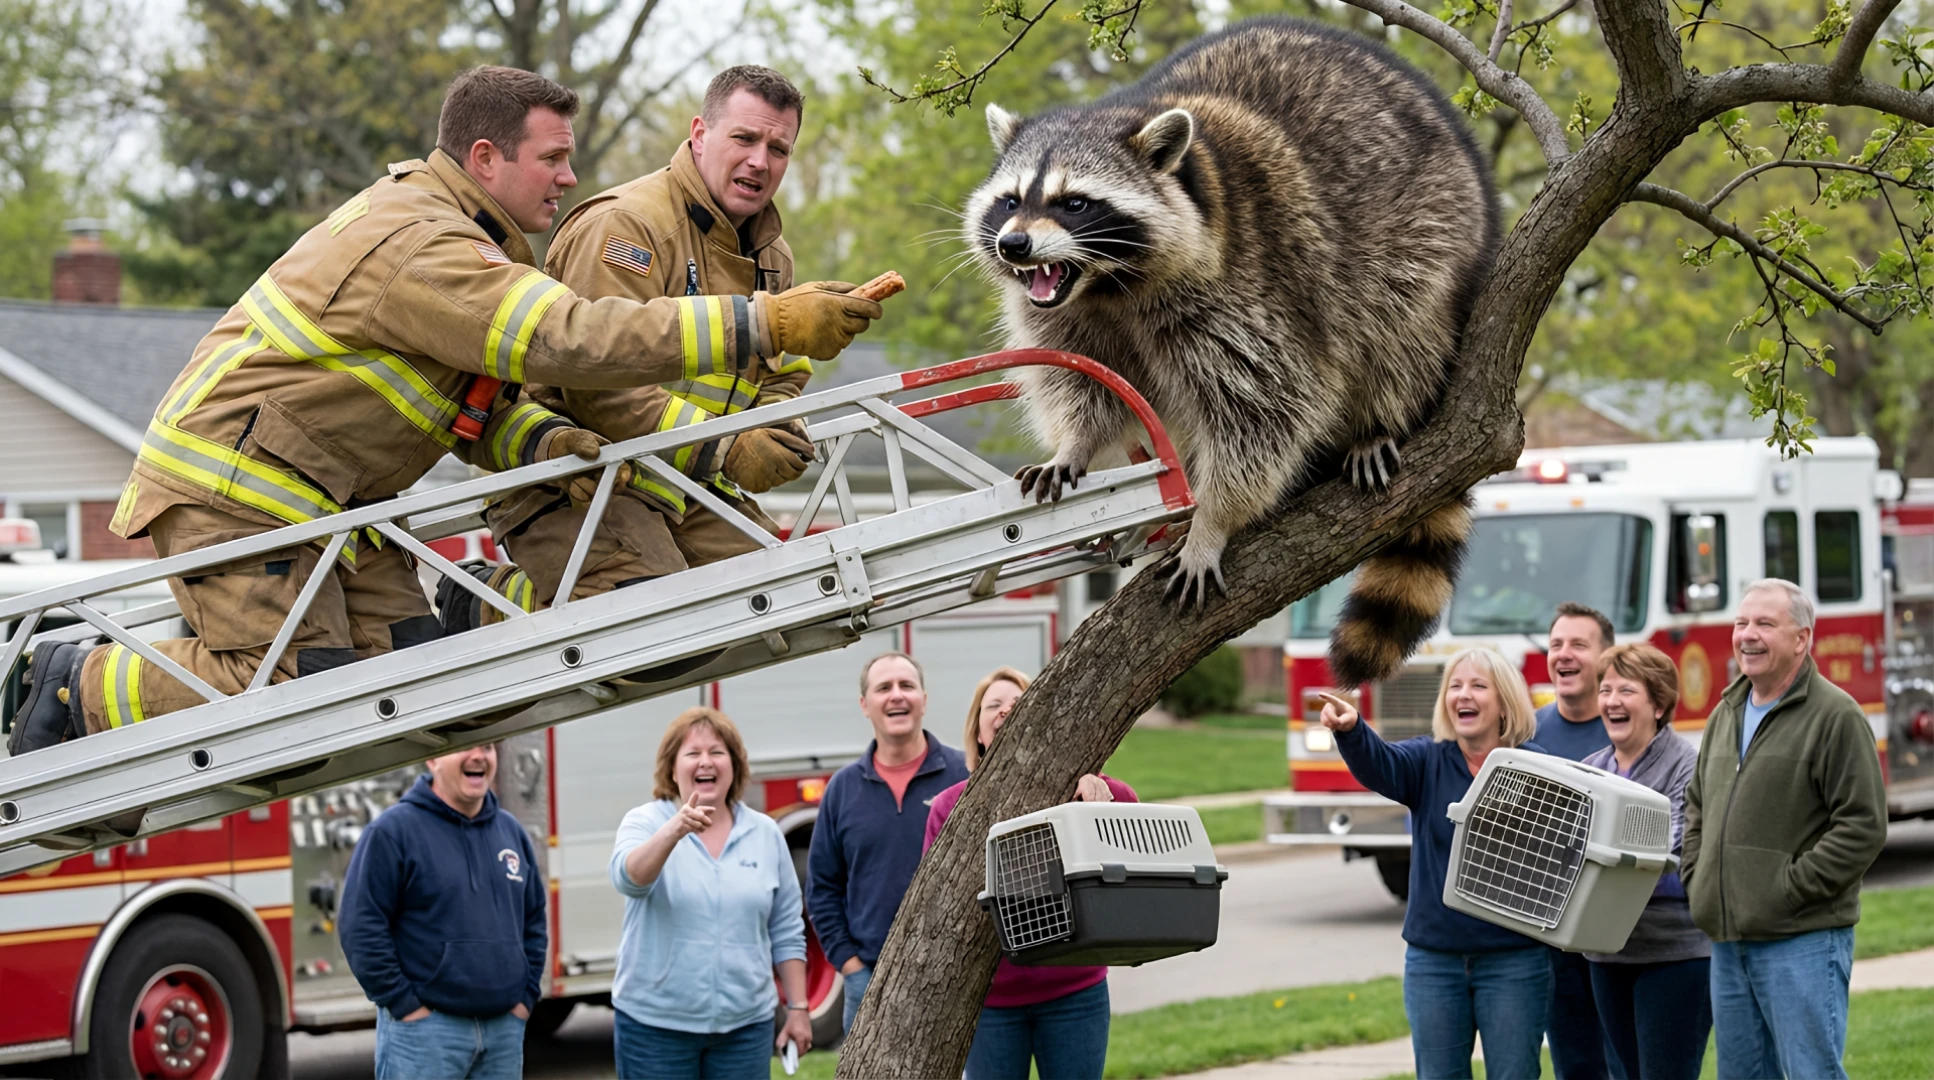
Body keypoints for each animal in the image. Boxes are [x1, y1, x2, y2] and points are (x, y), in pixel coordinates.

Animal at [965, 16, 1499, 685]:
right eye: (1011, 200)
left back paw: (1381, 420)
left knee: (1400, 323)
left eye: (1075, 203)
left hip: (1431, 231)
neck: (1107, 285)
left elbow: (1263, 409)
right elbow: (1088, 381)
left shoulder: (1251, 284)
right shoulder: (1068, 316)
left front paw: (1213, 519)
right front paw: (1076, 443)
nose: (1013, 246)